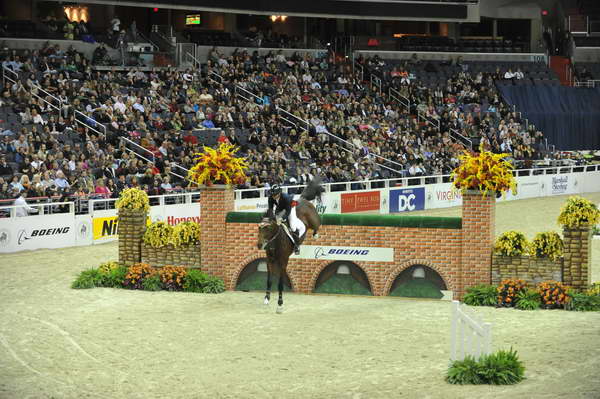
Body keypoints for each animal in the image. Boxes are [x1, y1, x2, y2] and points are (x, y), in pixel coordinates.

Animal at [256, 179, 324, 316]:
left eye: (268, 228)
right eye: (259, 227)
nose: (259, 245)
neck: (275, 241)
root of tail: (303, 199)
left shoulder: (283, 262)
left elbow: (280, 284)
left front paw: (280, 304)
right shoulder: (269, 261)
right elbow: (269, 280)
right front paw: (266, 299)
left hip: (313, 220)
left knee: (317, 225)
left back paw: (316, 235)